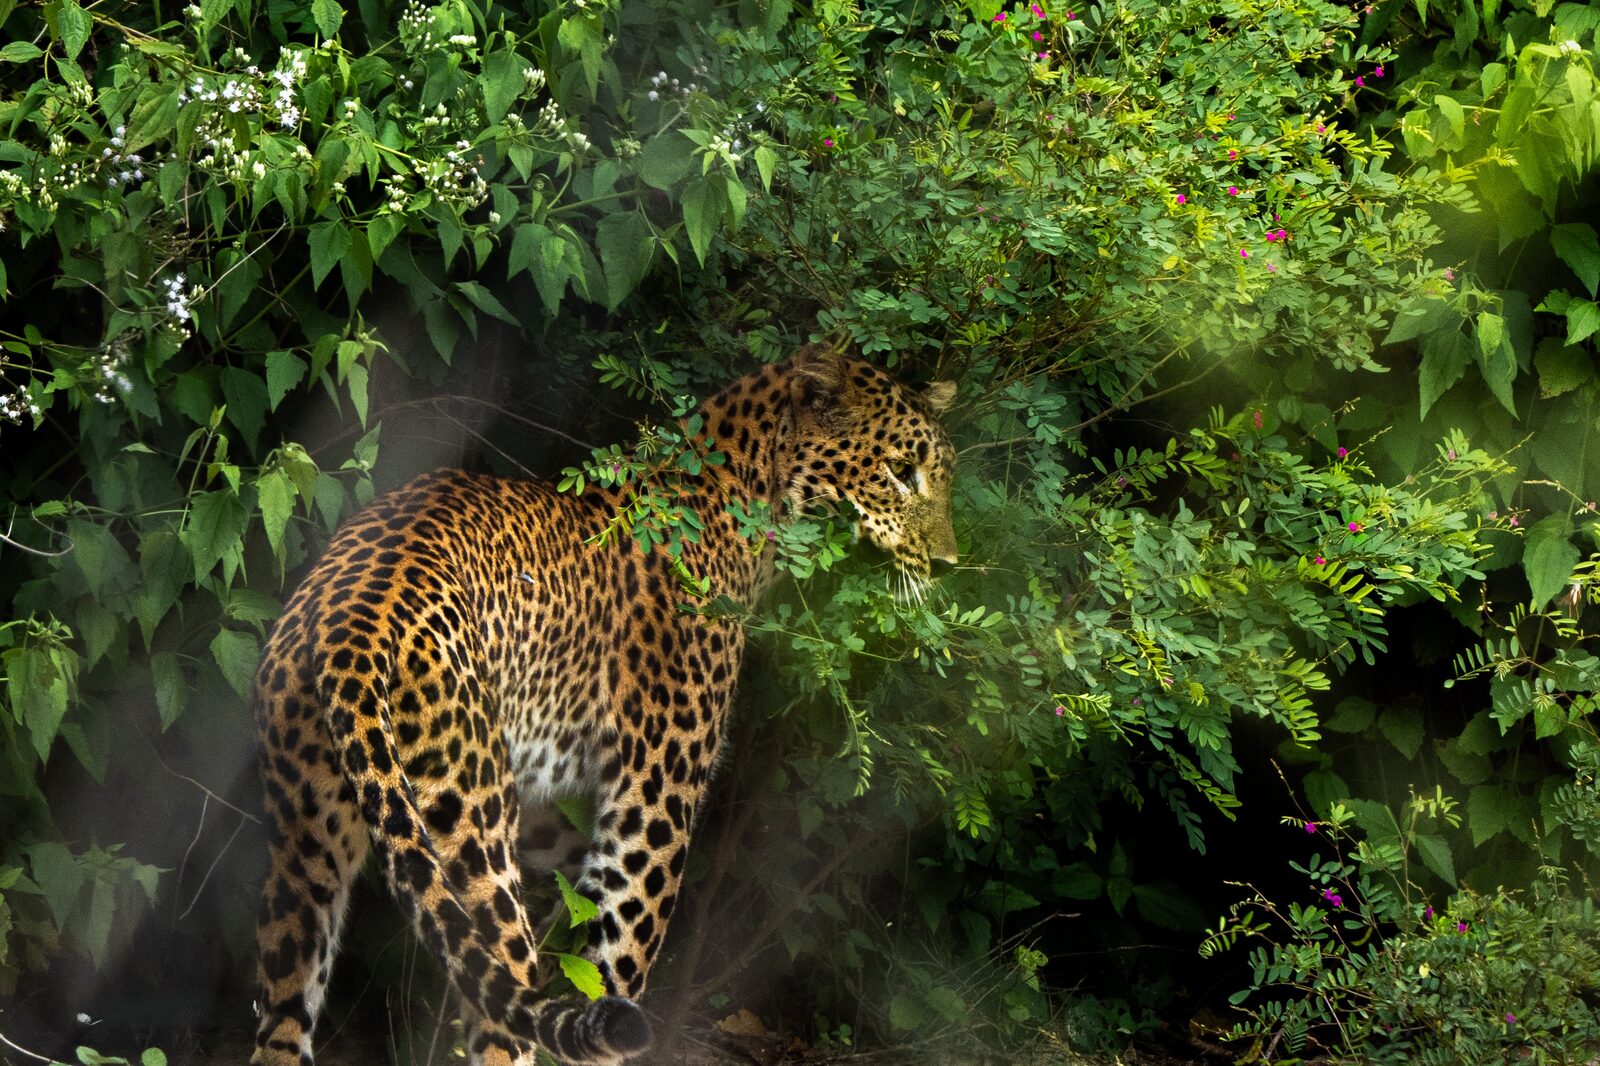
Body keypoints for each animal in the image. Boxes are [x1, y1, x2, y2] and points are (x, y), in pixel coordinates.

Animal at [249, 345, 958, 1066]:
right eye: (900, 473)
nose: (948, 563)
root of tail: (352, 619)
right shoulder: (651, 807)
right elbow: (614, 964)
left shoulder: (543, 806)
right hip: (470, 832)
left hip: (307, 851)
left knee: (283, 1020)